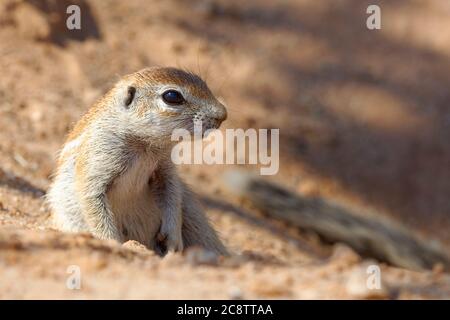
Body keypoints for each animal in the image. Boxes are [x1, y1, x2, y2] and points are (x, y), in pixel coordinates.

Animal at [48, 67, 229, 255]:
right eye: (172, 96)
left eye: (203, 83)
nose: (223, 114)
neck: (144, 145)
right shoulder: (96, 160)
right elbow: (93, 203)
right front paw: (112, 243)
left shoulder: (164, 165)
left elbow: (171, 192)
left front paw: (173, 239)